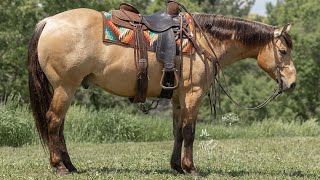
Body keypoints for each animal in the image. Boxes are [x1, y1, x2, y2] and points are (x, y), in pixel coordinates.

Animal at [27, 1, 298, 176]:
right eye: (283, 51)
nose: (292, 83)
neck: (202, 39)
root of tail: (48, 21)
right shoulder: (193, 94)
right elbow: (189, 131)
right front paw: (191, 168)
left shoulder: (179, 97)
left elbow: (177, 131)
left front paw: (176, 166)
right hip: (65, 87)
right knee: (53, 121)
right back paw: (60, 166)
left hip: (66, 89)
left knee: (59, 125)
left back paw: (70, 165)